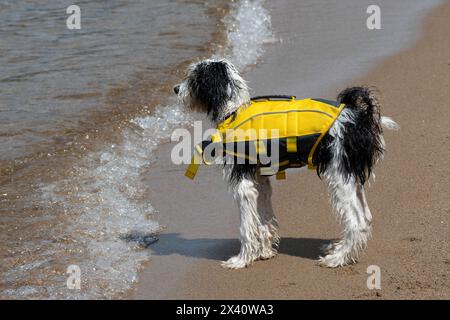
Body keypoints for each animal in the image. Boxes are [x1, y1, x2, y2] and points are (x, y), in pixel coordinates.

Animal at [174, 58, 400, 268]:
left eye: (194, 78)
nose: (176, 89)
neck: (234, 110)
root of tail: (359, 116)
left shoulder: (243, 185)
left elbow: (246, 227)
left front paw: (241, 259)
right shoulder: (260, 181)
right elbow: (264, 220)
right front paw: (264, 252)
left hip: (339, 179)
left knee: (357, 221)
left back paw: (338, 258)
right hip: (352, 178)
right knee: (366, 217)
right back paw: (340, 249)